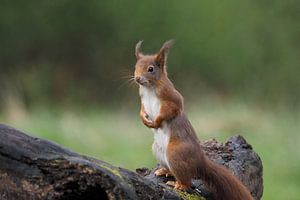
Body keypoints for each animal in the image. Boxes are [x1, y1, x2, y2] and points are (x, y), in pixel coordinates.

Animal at [134, 40, 253, 200]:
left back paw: (179, 184)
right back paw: (165, 171)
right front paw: (144, 120)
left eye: (150, 69)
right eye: (135, 67)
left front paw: (157, 122)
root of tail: (200, 162)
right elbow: (142, 110)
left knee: (187, 180)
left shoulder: (172, 97)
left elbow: (172, 109)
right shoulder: (143, 100)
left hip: (175, 154)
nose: (137, 78)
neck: (149, 88)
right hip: (158, 150)